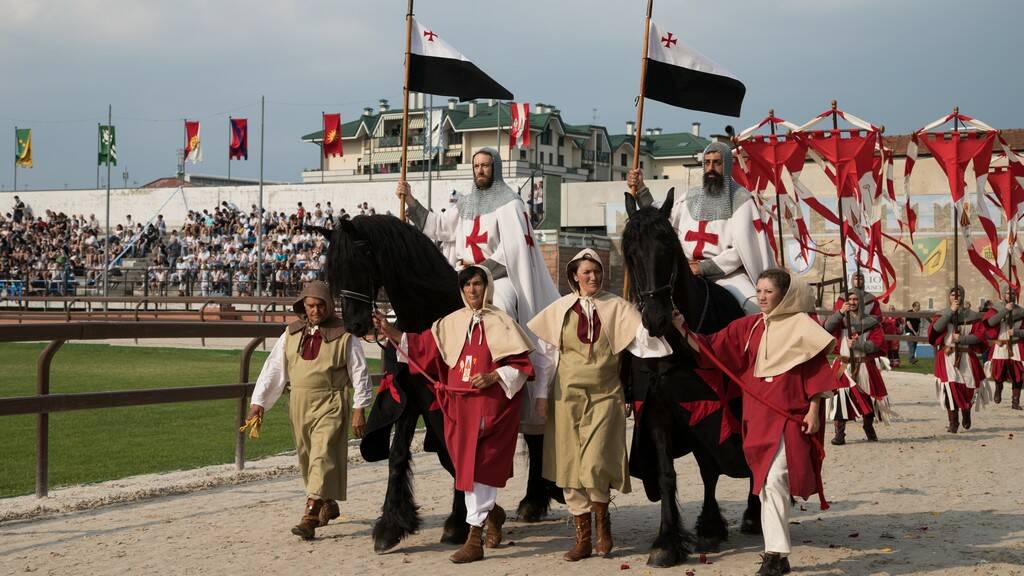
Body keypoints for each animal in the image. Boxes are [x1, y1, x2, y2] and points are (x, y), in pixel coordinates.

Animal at [323, 214, 557, 553]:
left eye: (359, 260)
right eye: (332, 270)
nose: (355, 324)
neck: (429, 312)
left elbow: (455, 454)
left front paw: (461, 523)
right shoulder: (412, 397)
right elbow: (400, 455)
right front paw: (392, 525)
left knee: (538, 439)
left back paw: (534, 501)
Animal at [614, 189, 761, 565]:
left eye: (667, 245)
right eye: (630, 253)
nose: (656, 319)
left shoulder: (708, 408)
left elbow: (712, 467)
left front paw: (709, 527)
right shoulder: (659, 408)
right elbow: (667, 473)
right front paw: (667, 541)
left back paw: (753, 516)